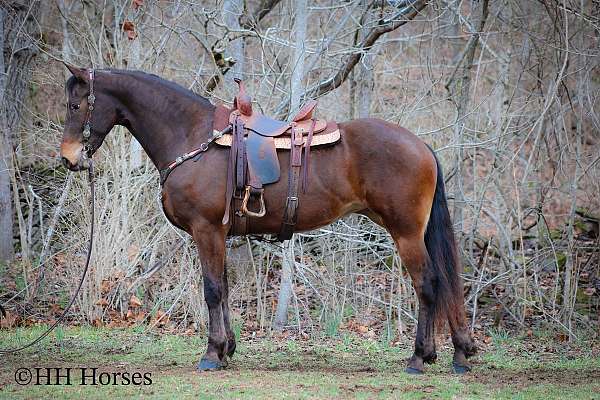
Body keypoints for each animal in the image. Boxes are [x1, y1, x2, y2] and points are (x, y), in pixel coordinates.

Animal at [58, 65, 476, 376]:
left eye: (76, 105)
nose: (68, 158)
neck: (192, 137)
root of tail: (420, 146)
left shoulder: (207, 230)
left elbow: (212, 289)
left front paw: (211, 354)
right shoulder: (220, 234)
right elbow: (224, 288)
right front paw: (227, 349)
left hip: (406, 234)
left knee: (428, 284)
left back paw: (419, 358)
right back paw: (453, 353)